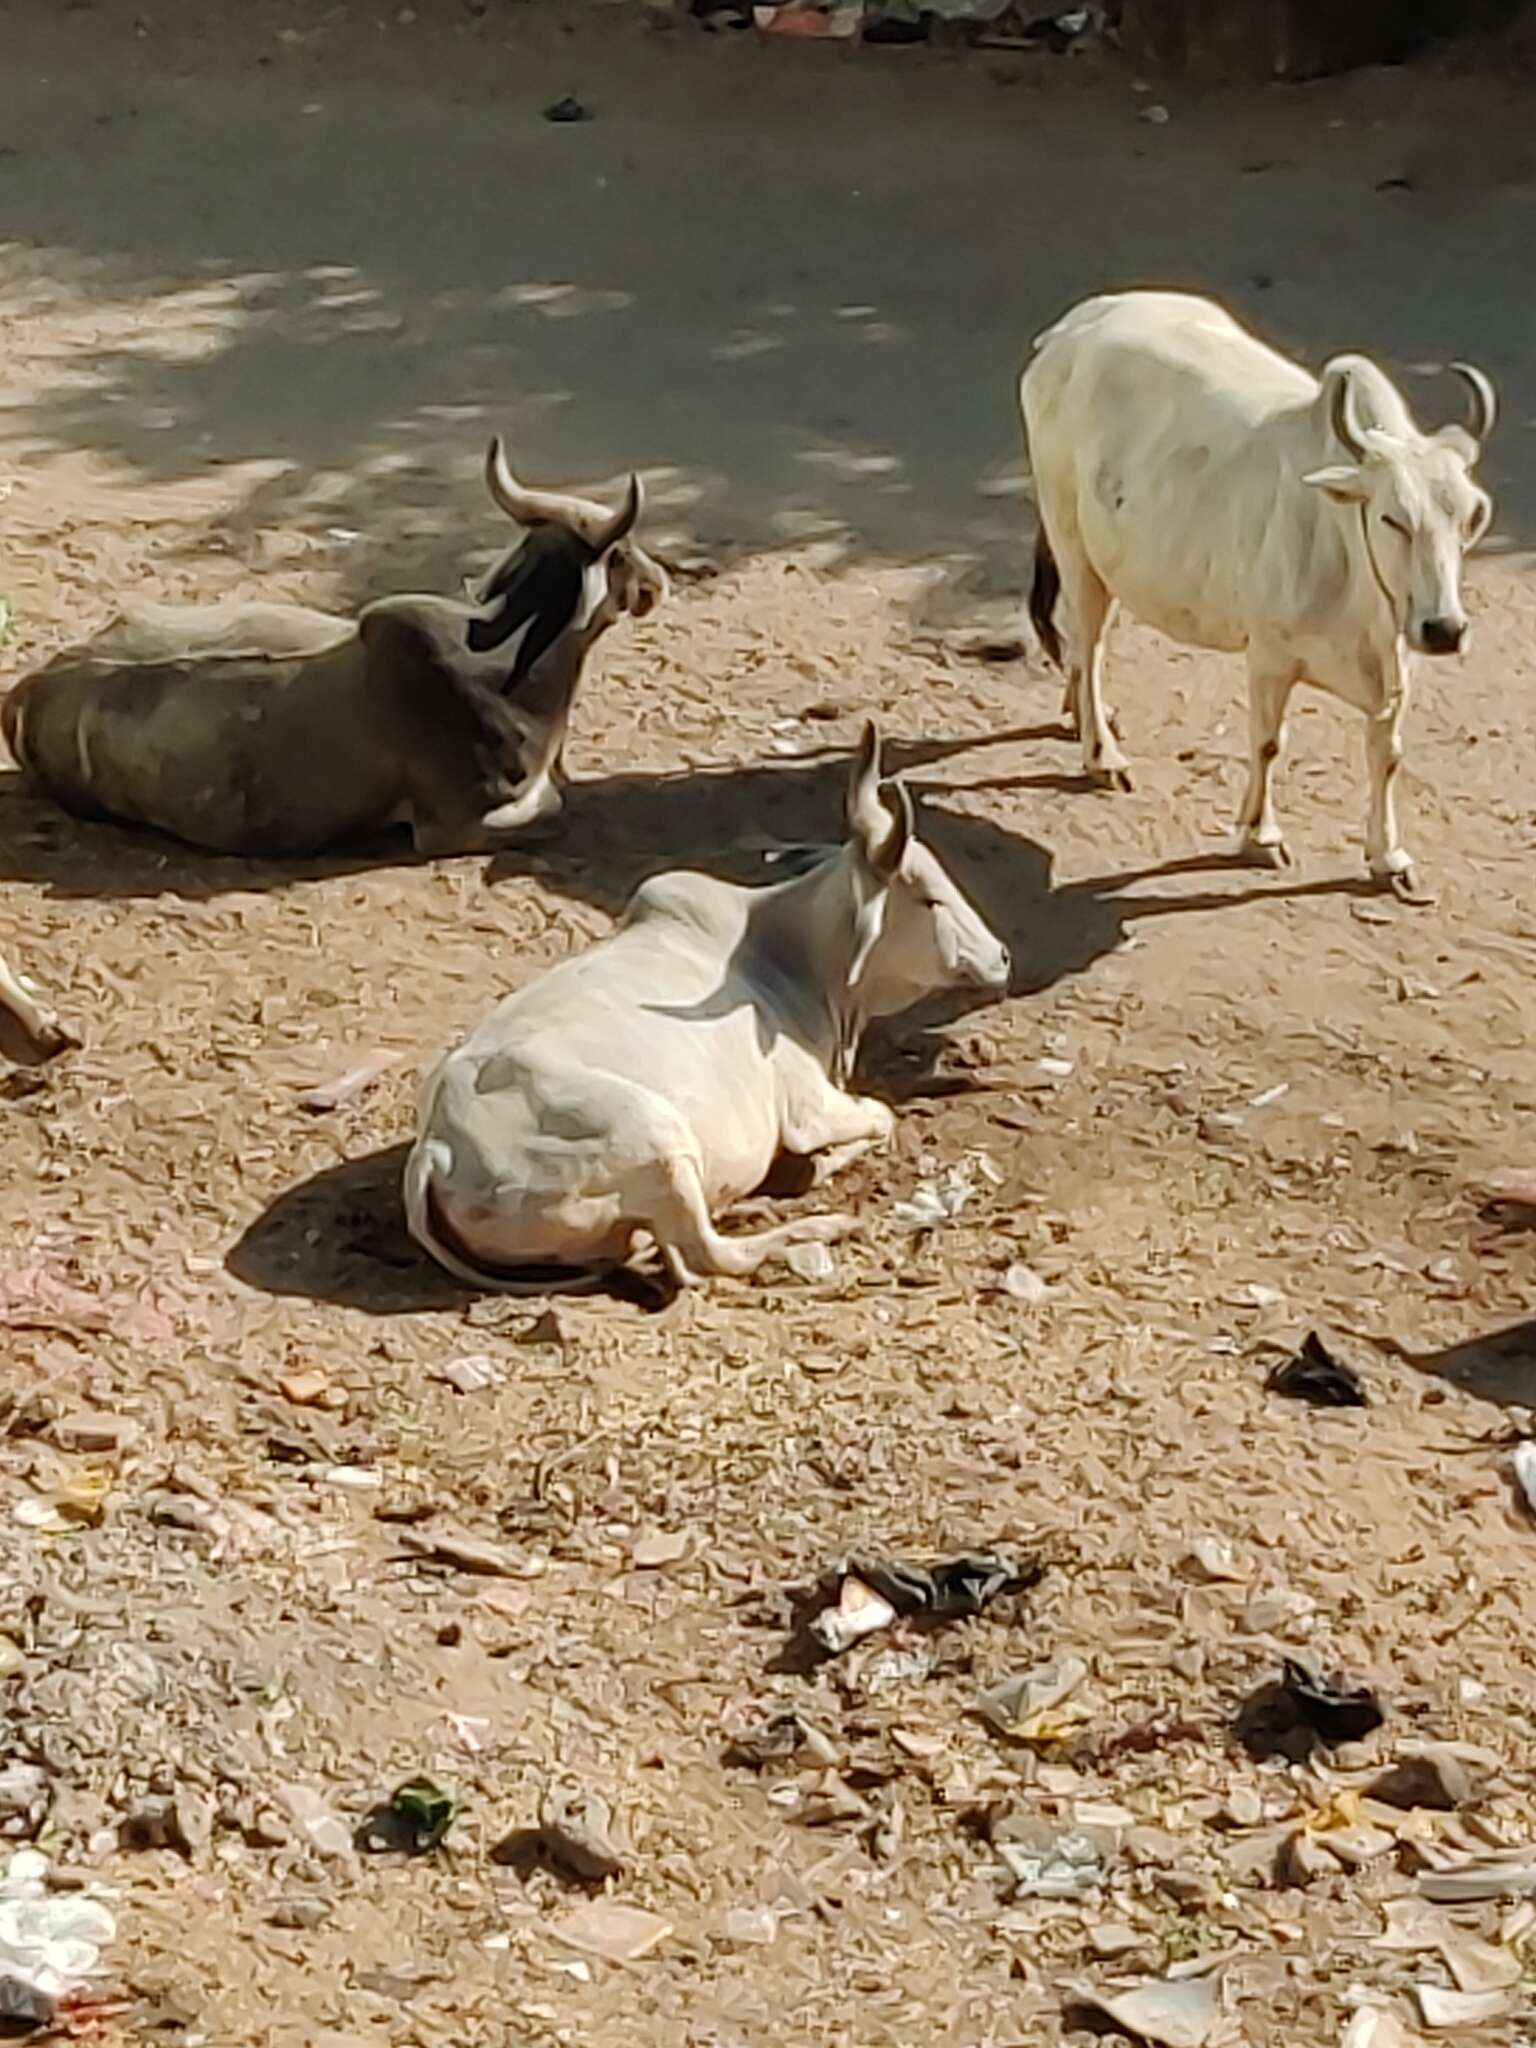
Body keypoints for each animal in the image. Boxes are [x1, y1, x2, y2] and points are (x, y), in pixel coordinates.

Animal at [3, 444, 671, 860]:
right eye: (621, 551)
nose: (658, 581)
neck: (509, 664)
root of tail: (27, 689)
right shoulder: (455, 824)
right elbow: (555, 804)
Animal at [403, 729, 1015, 1286]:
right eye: (929, 899)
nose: (1003, 956)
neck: (789, 954)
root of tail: (434, 1150)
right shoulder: (811, 1107)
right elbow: (881, 1116)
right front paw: (815, 1166)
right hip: (656, 1138)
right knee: (709, 1257)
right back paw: (815, 1227)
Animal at [1015, 290, 1499, 897]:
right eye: (1393, 518)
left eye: (1472, 516)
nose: (1445, 630)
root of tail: (1066, 332)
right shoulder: (1270, 656)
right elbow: (1269, 743)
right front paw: (1260, 836)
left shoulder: (1397, 667)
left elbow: (1386, 756)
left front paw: (1389, 857)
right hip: (1075, 551)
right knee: (1090, 646)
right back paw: (1102, 754)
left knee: (1084, 651)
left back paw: (1080, 718)